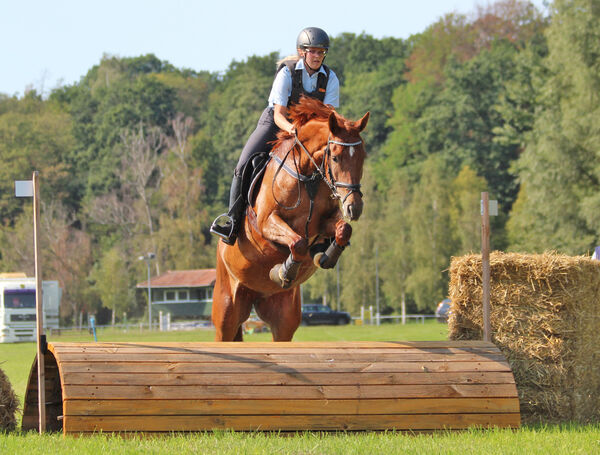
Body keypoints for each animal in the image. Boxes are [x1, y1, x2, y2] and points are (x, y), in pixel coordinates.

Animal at [211, 99, 370, 342]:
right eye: (335, 157)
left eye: (362, 157)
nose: (354, 207)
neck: (307, 176)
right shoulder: (267, 222)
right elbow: (298, 242)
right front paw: (283, 272)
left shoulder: (324, 223)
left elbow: (343, 230)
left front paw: (325, 256)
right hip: (226, 309)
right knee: (224, 330)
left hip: (283, 317)